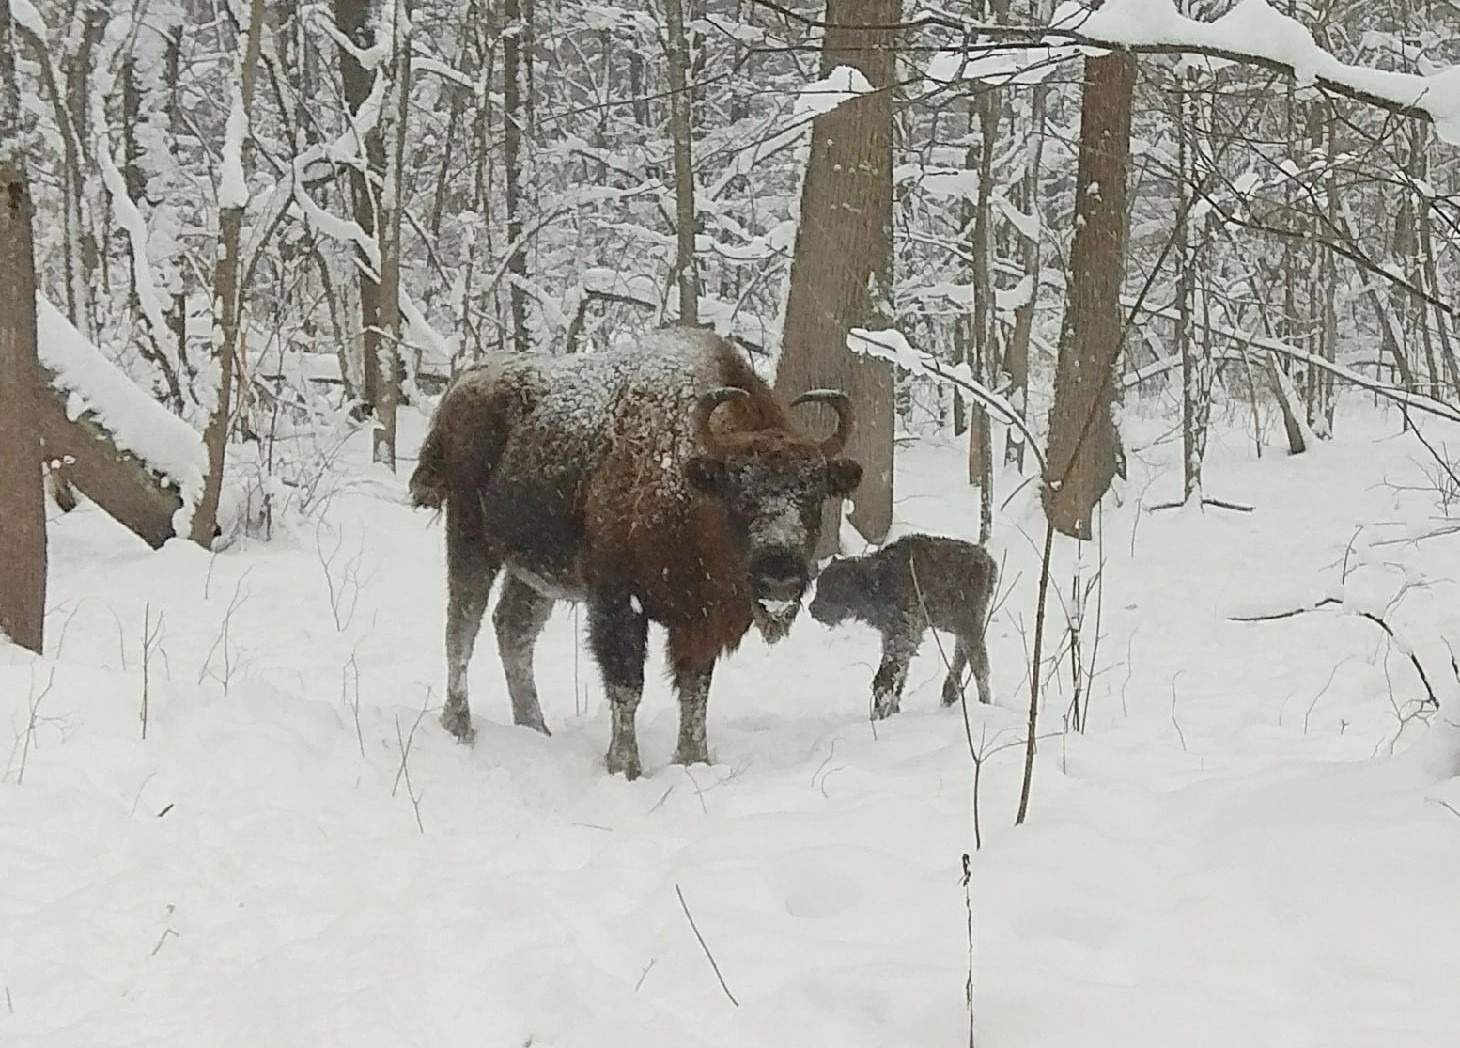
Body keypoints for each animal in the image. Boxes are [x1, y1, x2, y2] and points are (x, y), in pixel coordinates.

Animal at [411, 328, 858, 782]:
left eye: (815, 493)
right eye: (740, 493)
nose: (779, 576)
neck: (693, 482)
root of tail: (464, 383)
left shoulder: (701, 619)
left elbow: (695, 687)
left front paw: (694, 759)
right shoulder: (619, 602)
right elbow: (628, 684)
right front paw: (625, 765)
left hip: (536, 573)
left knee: (513, 628)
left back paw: (535, 727)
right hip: (470, 537)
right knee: (463, 625)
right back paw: (460, 725)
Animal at [805, 534, 998, 723]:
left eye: (833, 589)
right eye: (819, 586)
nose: (812, 608)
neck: (878, 581)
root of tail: (987, 559)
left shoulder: (903, 634)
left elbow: (889, 672)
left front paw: (881, 711)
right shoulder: (892, 633)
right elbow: (901, 672)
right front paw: (892, 709)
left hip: (968, 623)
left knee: (979, 664)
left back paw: (983, 701)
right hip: (957, 625)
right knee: (963, 654)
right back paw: (949, 694)